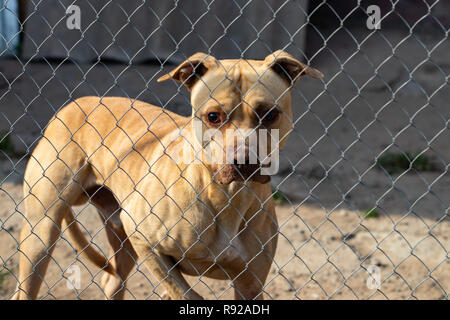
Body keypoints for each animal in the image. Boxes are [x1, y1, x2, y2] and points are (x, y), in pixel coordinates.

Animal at [13, 50, 324, 300]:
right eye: (213, 117)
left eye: (269, 114)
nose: (244, 162)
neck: (224, 197)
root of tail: (75, 104)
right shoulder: (144, 240)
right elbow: (187, 293)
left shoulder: (250, 284)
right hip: (41, 234)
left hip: (120, 242)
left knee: (112, 280)